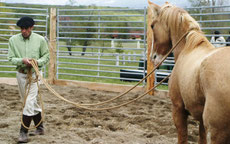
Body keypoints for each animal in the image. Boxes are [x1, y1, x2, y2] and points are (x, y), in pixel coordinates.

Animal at [149, 0, 230, 143]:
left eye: (152, 26)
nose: (153, 57)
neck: (189, 48)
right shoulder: (201, 121)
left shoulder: (178, 109)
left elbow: (182, 138)